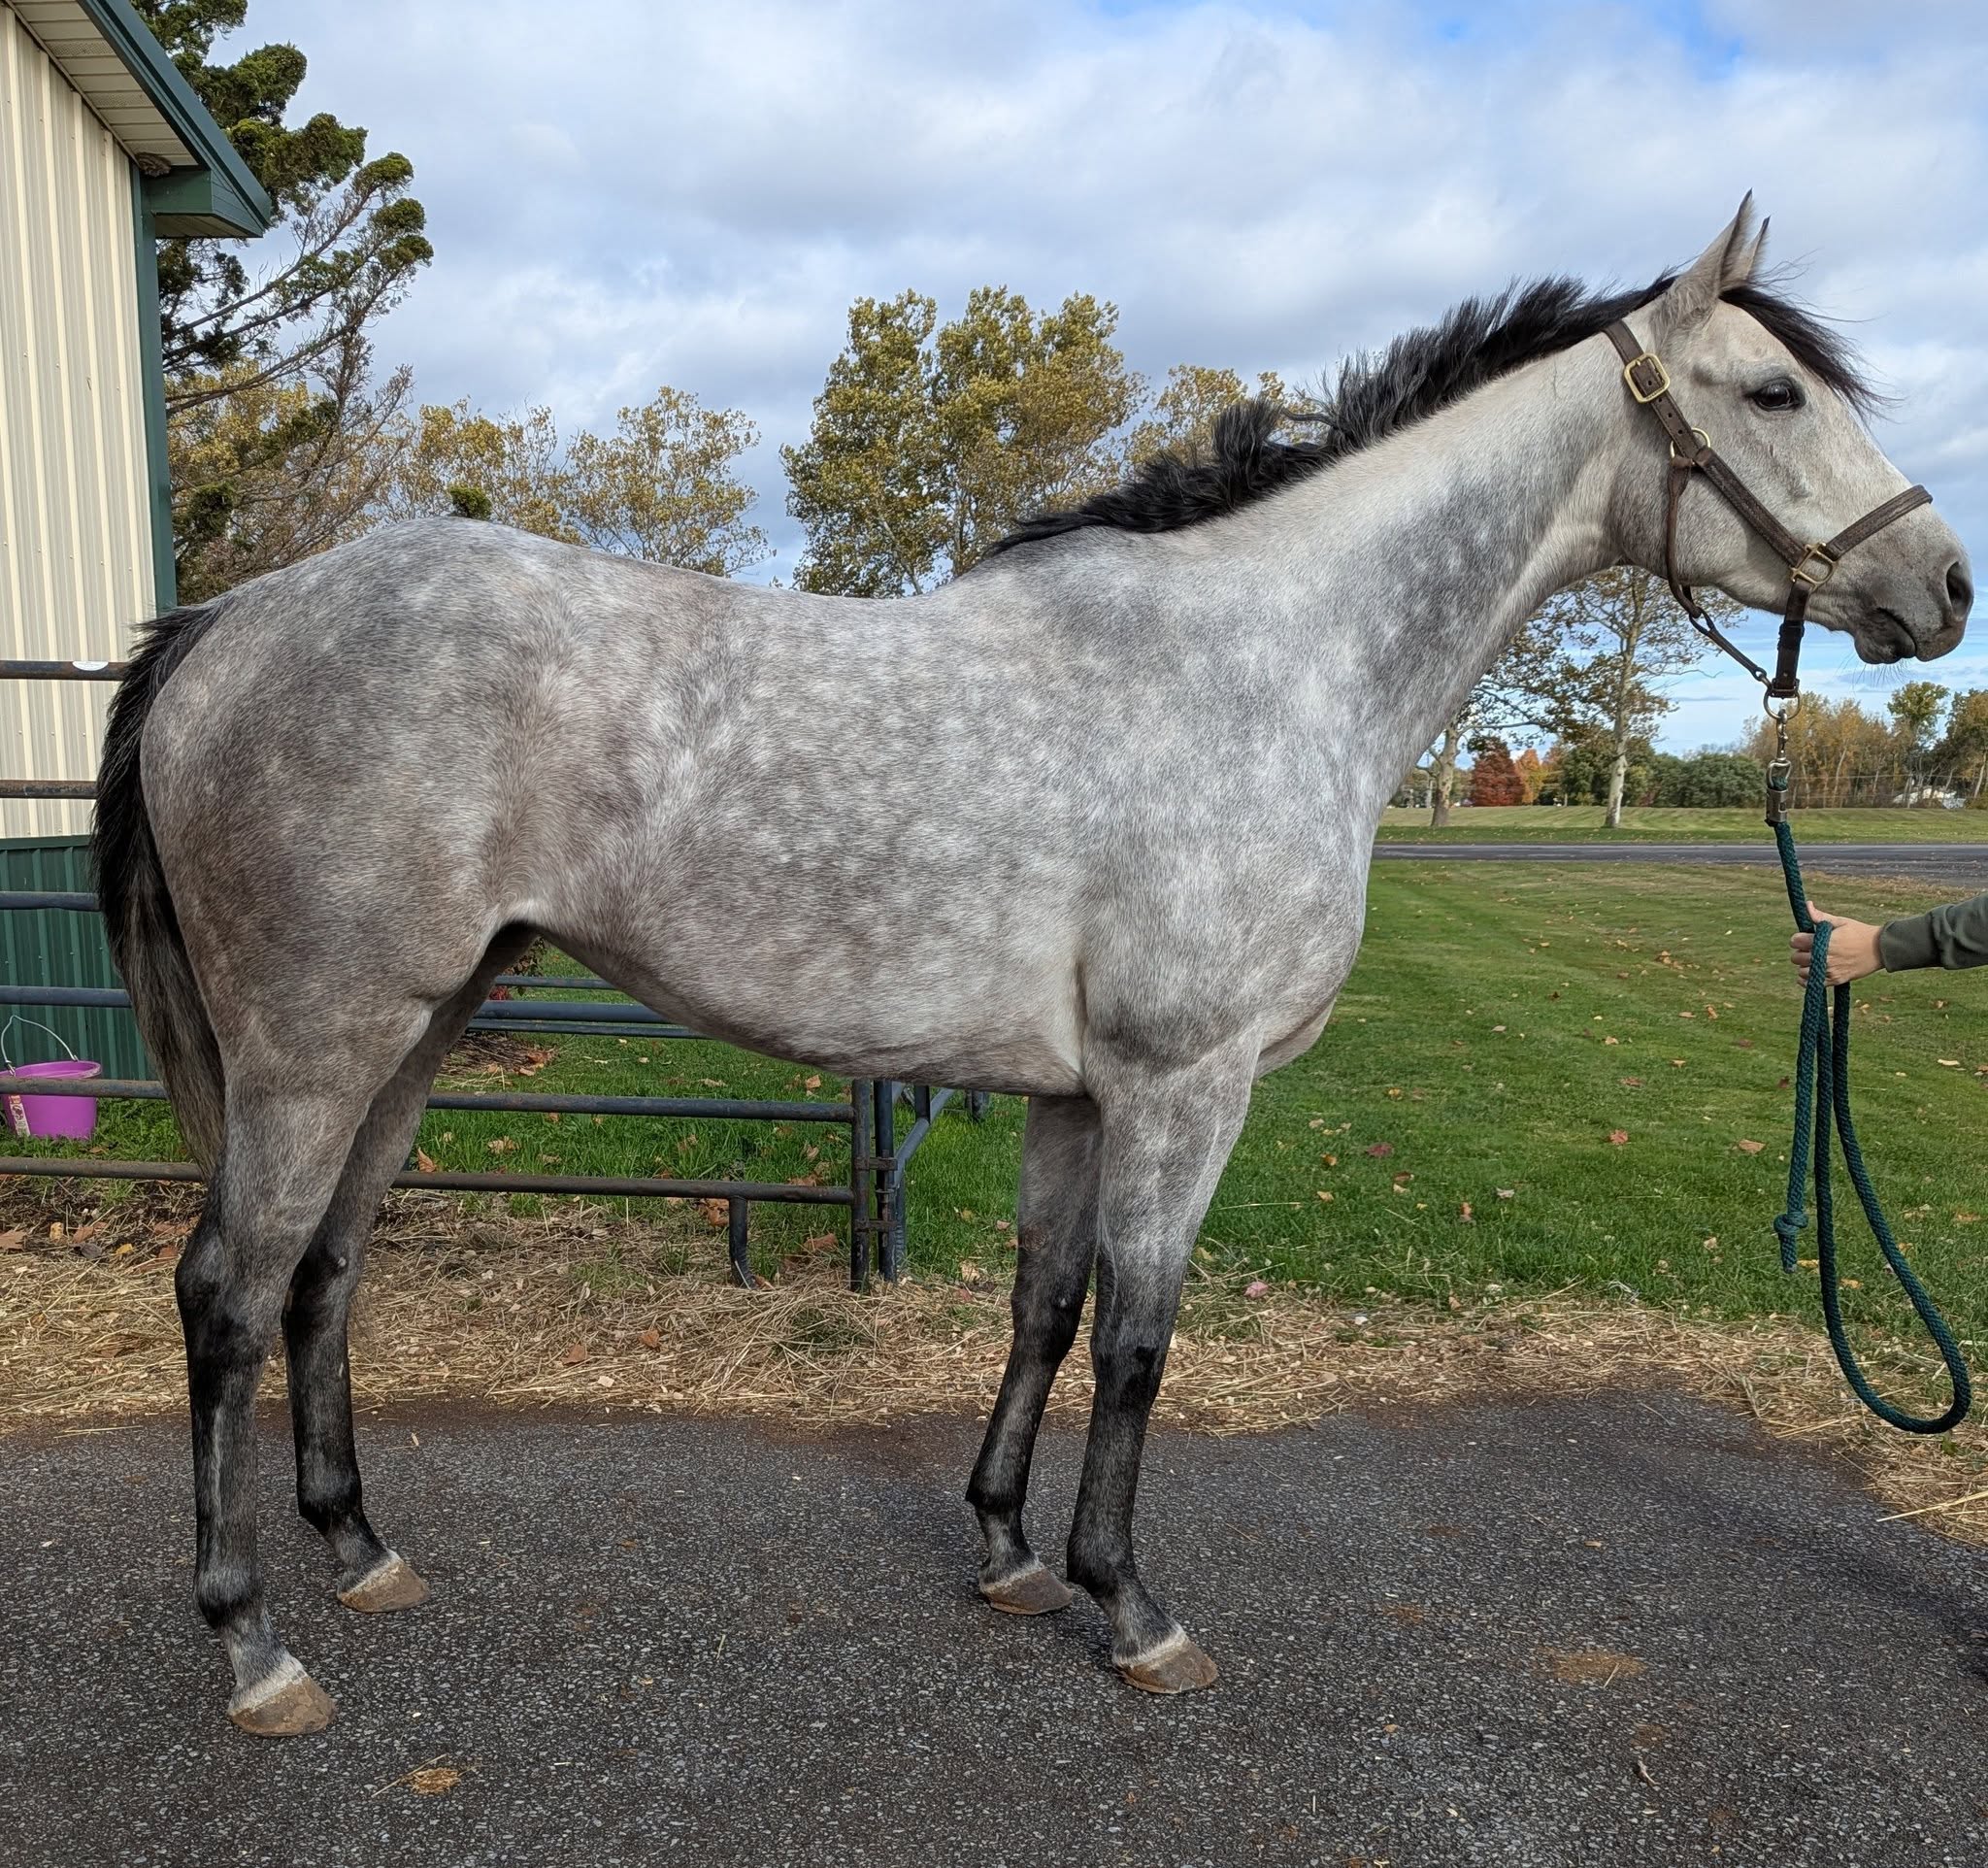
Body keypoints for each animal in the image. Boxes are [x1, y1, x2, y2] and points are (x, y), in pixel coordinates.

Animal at [92, 199, 1970, 1735]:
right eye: (1774, 394)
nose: (1942, 585)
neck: (1270, 663)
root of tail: (225, 622)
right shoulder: (1185, 1085)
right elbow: (1140, 1336)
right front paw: (1127, 1605)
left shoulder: (1080, 1094)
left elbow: (1045, 1309)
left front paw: (1005, 1549)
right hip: (318, 1042)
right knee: (230, 1291)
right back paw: (254, 1642)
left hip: (417, 1031)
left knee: (327, 1274)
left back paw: (363, 1551)